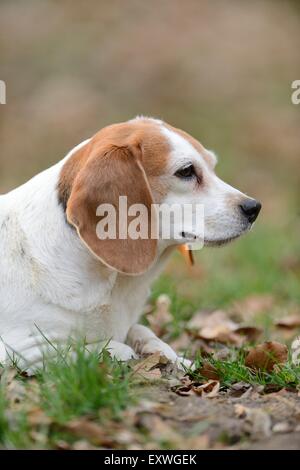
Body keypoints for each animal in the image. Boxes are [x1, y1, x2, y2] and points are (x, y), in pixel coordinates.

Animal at [0, 117, 260, 370]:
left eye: (212, 165)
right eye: (186, 171)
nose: (254, 208)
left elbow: (143, 331)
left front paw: (175, 358)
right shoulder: (21, 349)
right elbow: (85, 348)